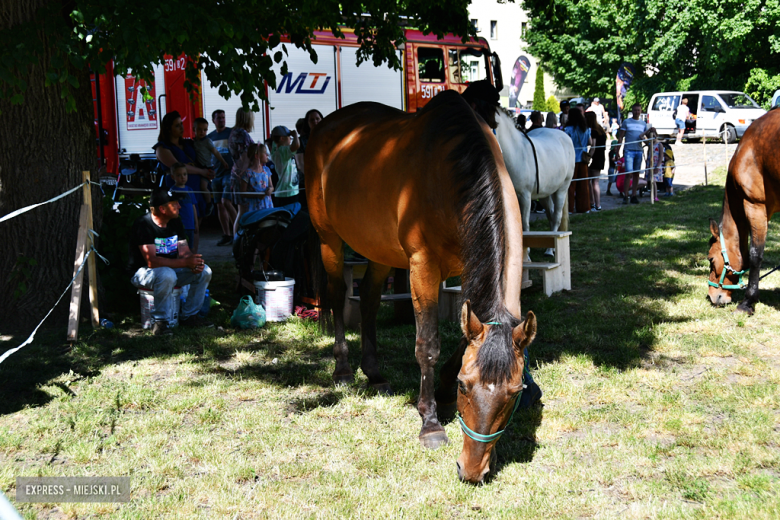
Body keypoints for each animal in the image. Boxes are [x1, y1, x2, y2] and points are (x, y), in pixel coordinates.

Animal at [304, 90, 536, 484]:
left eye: (515, 393)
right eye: (465, 386)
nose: (472, 469)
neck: (451, 169)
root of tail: (324, 125)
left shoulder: (467, 269)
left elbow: (462, 338)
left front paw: (440, 391)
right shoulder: (422, 266)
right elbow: (428, 343)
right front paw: (430, 422)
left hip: (378, 249)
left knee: (369, 300)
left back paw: (375, 374)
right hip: (328, 240)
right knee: (337, 298)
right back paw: (344, 370)